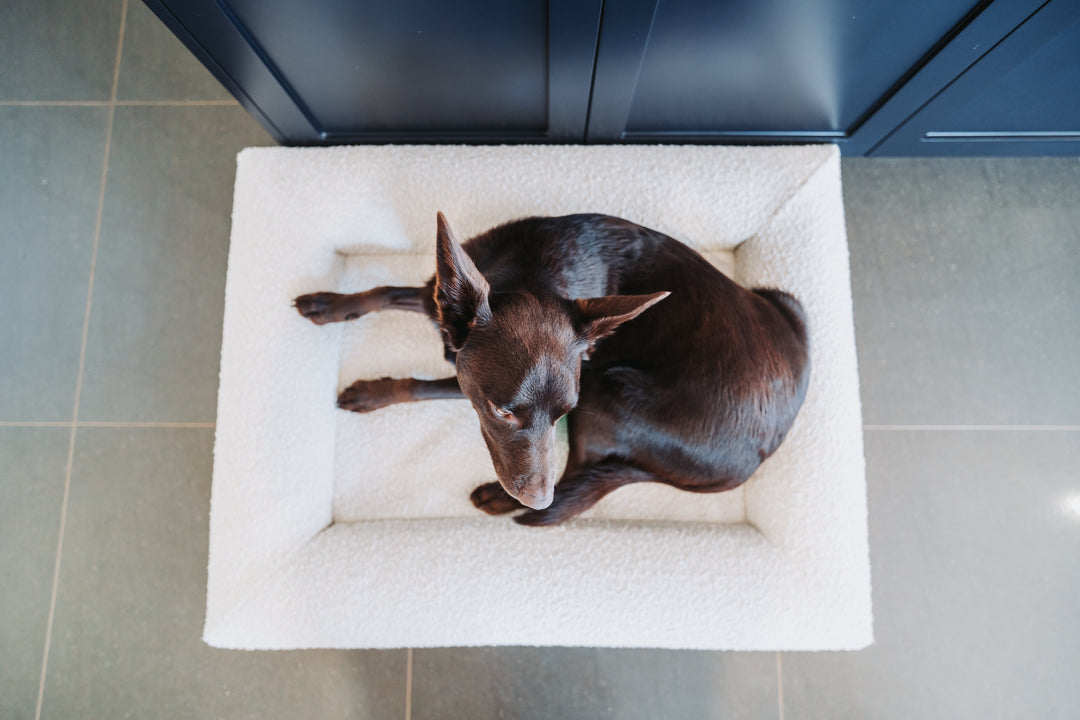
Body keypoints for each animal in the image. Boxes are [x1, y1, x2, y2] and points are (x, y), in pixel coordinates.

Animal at [295, 212, 812, 524]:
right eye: (504, 413)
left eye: (562, 414)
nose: (534, 498)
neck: (531, 277)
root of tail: (756, 460)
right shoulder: (441, 300)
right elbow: (383, 291)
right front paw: (330, 304)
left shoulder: (463, 380)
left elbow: (419, 387)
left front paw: (369, 394)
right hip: (787, 303)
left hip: (608, 391)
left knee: (574, 472)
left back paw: (500, 499)